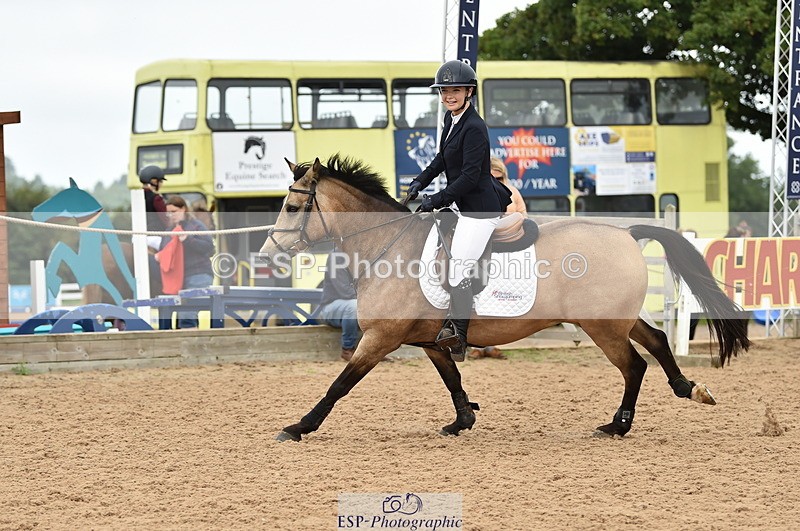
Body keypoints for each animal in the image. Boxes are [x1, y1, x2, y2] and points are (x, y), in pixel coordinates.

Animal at [259, 155, 750, 442]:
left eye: (291, 206)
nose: (268, 253)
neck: (388, 245)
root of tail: (627, 232)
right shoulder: (428, 340)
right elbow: (453, 379)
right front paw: (462, 421)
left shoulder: (380, 338)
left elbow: (340, 383)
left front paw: (299, 426)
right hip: (617, 320)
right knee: (658, 341)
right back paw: (688, 388)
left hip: (602, 327)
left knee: (634, 365)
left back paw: (618, 425)